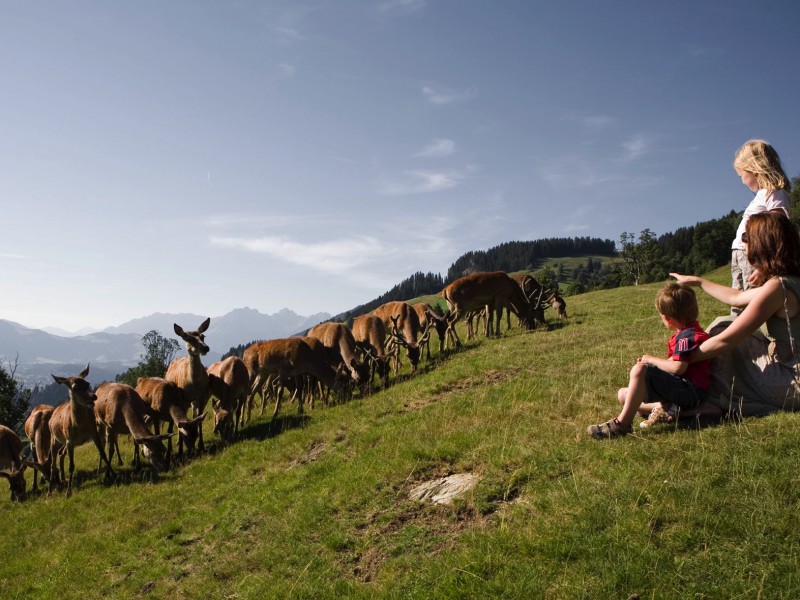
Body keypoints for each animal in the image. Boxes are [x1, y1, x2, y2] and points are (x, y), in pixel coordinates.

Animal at [48, 364, 113, 494]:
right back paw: (50, 491)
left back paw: (63, 481)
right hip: (54, 439)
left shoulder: (93, 433)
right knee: (52, 464)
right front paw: (68, 492)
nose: (93, 396)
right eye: (75, 387)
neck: (80, 427)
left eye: (87, 383)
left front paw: (113, 474)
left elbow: (102, 453)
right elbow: (71, 466)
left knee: (60, 454)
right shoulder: (70, 441)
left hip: (63, 442)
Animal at [166, 318, 211, 450]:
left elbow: (199, 418)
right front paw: (181, 448)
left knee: (193, 414)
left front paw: (201, 444)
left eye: (203, 336)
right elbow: (182, 421)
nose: (205, 348)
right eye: (188, 338)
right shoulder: (183, 398)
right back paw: (177, 443)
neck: (194, 384)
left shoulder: (202, 396)